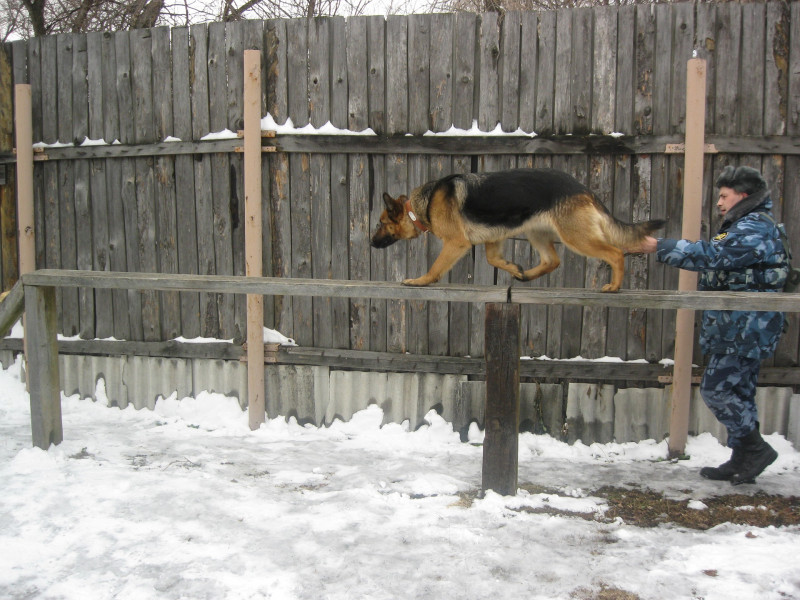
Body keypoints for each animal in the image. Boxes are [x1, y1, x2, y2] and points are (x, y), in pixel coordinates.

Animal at [372, 168, 664, 292]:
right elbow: (493, 259)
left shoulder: (456, 243)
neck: (422, 204)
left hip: (577, 238)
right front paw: (512, 267)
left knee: (615, 253)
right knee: (552, 260)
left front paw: (419, 281)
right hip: (537, 234)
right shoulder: (494, 238)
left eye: (380, 223)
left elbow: (435, 268)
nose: (371, 243)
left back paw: (614, 286)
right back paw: (525, 275)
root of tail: (582, 188)